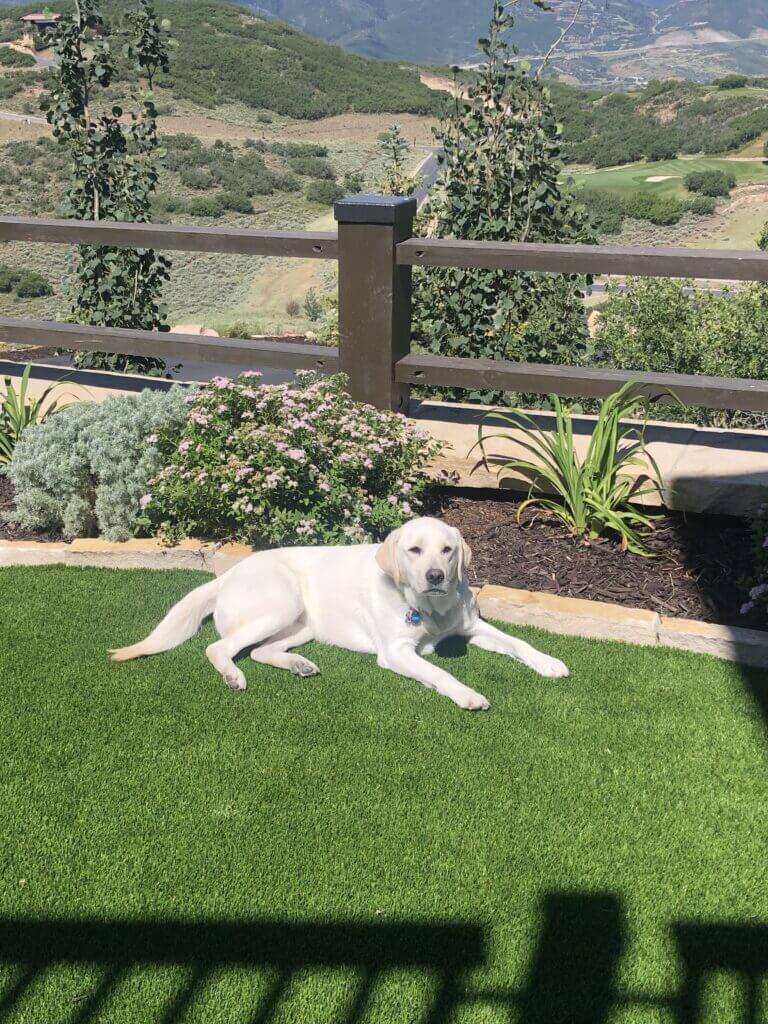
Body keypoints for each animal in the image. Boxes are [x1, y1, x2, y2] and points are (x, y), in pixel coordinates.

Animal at [114, 516, 573, 708]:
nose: (437, 576)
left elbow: (519, 642)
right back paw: (232, 675)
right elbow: (439, 672)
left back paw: (298, 665)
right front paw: (466, 694)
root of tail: (224, 577)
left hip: (301, 624)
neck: (431, 608)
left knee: (261, 650)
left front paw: (549, 662)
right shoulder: (396, 652)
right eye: (414, 550)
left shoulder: (473, 626)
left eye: (447, 549)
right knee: (219, 648)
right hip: (281, 601)